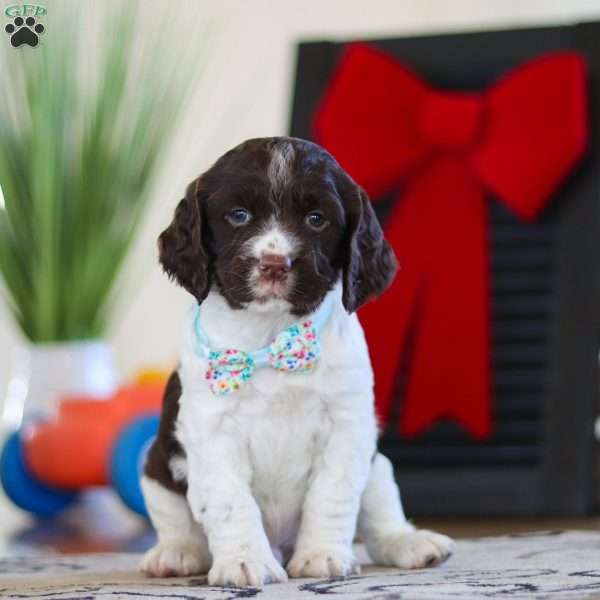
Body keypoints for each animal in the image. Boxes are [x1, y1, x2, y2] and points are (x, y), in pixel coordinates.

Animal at [139, 136, 450, 584]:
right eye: (238, 215)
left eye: (317, 219)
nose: (275, 264)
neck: (273, 338)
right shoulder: (212, 429)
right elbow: (231, 501)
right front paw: (245, 561)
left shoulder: (347, 424)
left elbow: (332, 494)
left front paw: (322, 556)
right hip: (156, 466)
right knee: (175, 518)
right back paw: (176, 553)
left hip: (377, 463)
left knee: (379, 512)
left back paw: (409, 543)